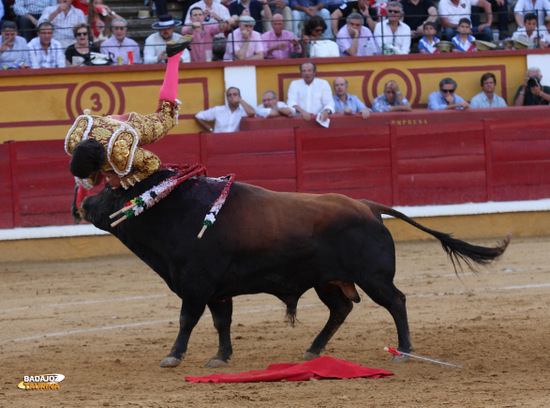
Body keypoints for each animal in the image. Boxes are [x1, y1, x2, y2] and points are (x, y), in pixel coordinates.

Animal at [75, 171, 512, 368]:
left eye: (112, 190)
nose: (81, 206)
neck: (178, 210)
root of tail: (369, 206)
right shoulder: (218, 291)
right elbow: (221, 323)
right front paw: (221, 357)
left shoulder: (197, 286)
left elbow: (187, 321)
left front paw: (173, 356)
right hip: (329, 282)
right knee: (341, 310)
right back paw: (313, 349)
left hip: (373, 278)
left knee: (397, 302)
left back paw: (403, 350)